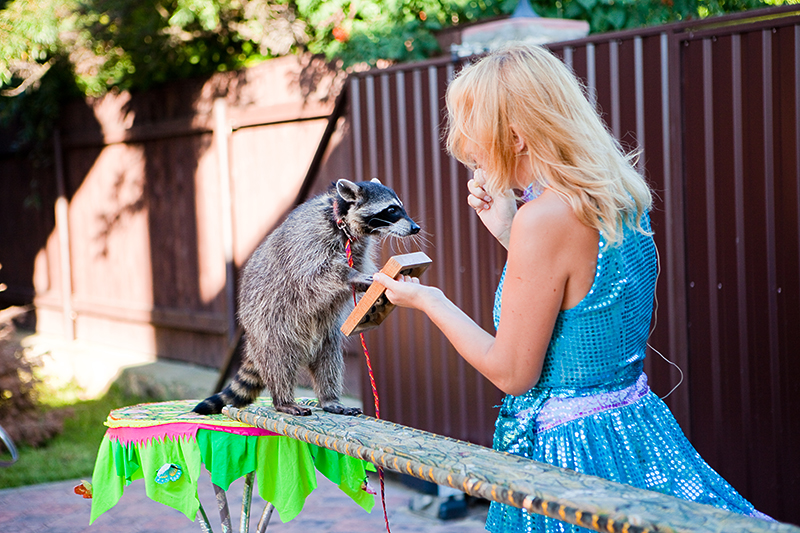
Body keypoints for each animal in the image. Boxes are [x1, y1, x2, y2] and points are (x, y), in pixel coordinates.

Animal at [194, 179, 422, 416]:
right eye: (392, 210)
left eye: (400, 207)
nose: (416, 228)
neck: (343, 221)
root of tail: (251, 337)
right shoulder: (310, 240)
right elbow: (315, 272)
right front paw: (351, 275)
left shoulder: (358, 248)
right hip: (268, 326)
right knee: (278, 362)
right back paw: (283, 399)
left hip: (325, 335)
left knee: (328, 361)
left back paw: (328, 398)